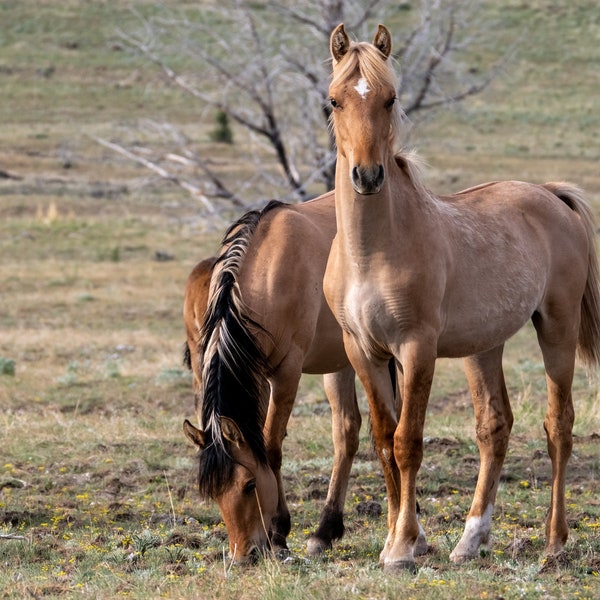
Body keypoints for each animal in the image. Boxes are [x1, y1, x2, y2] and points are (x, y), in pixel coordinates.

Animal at [324, 23, 600, 576]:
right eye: (335, 100)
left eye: (390, 98)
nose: (367, 176)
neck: (374, 252)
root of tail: (550, 194)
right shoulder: (362, 350)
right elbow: (383, 441)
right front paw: (398, 540)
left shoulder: (416, 348)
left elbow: (408, 442)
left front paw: (403, 547)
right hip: (483, 346)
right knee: (494, 427)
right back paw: (471, 540)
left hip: (556, 330)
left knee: (559, 425)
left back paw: (554, 542)